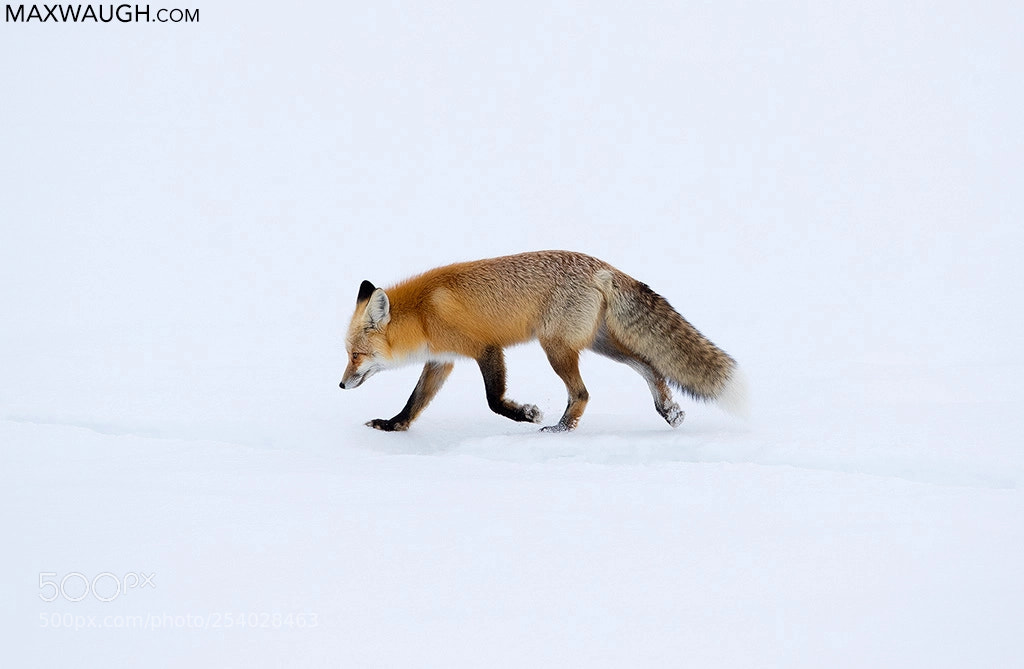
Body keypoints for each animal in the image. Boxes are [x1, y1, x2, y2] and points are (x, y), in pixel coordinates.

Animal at [339, 250, 745, 432]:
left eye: (357, 355)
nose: (341, 384)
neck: (423, 313)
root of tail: (602, 265)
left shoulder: (486, 348)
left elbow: (493, 400)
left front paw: (525, 414)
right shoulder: (442, 360)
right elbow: (415, 401)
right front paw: (393, 425)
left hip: (556, 347)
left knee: (582, 393)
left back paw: (560, 430)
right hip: (597, 344)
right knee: (649, 366)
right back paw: (669, 410)